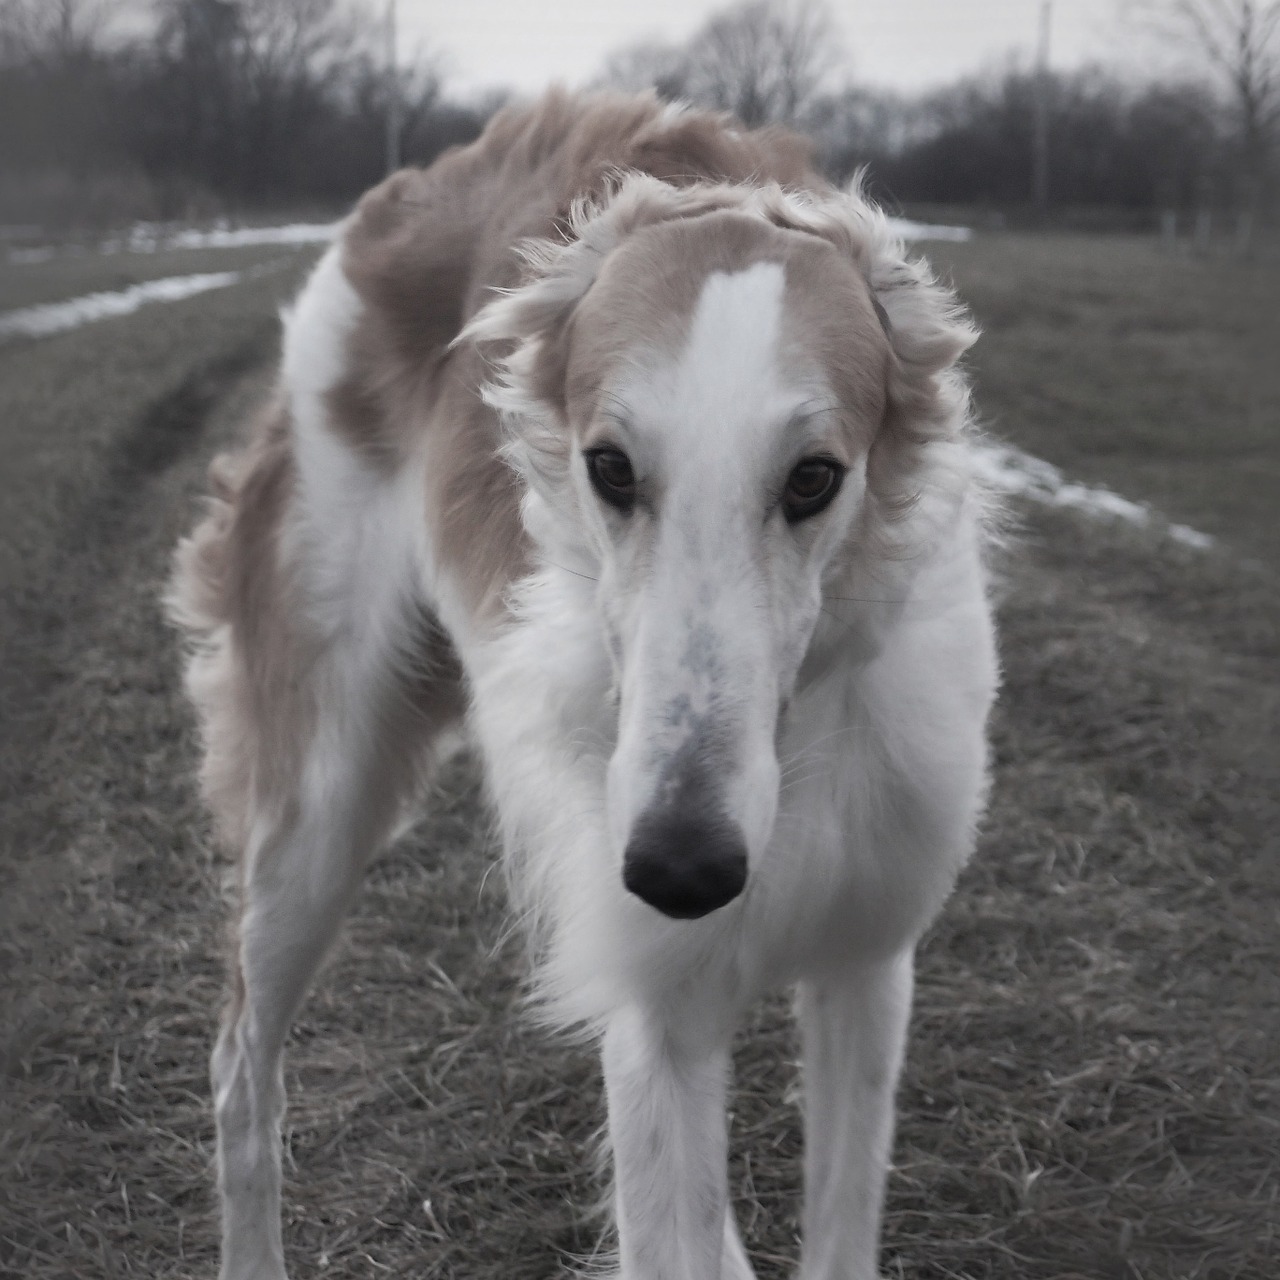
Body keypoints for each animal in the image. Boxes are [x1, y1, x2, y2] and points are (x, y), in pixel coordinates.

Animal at [172, 92, 998, 1280]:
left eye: (813, 478)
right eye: (609, 467)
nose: (682, 868)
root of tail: (408, 189)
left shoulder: (865, 956)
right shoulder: (658, 1016)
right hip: (315, 810)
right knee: (240, 1063)